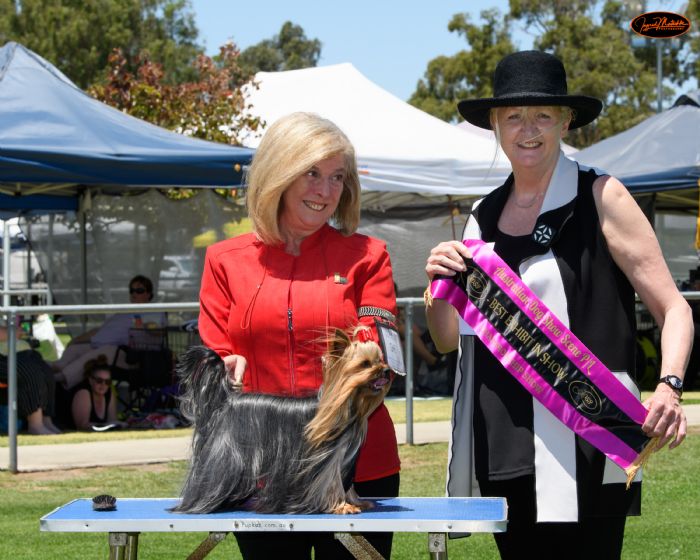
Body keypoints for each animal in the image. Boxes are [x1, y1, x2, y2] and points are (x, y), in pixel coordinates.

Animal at [172, 328, 394, 515]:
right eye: (365, 364)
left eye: (381, 360)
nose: (386, 371)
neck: (348, 403)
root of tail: (224, 400)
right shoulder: (326, 459)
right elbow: (330, 481)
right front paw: (342, 506)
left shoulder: (342, 459)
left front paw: (355, 501)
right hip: (225, 454)